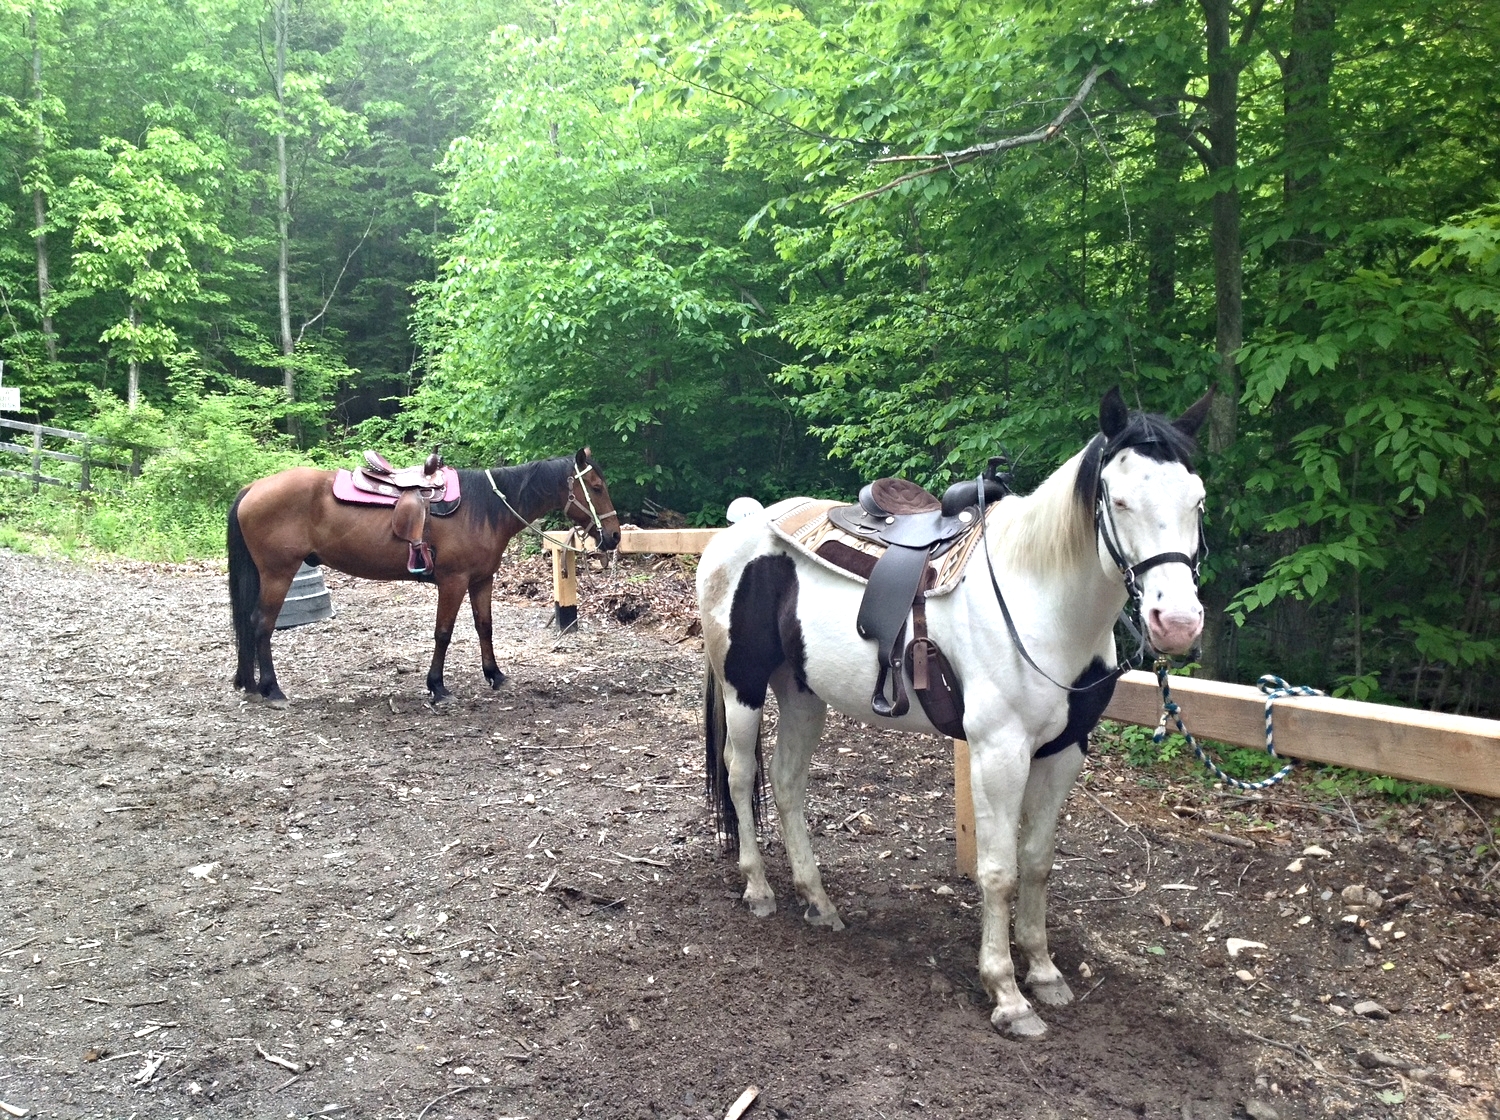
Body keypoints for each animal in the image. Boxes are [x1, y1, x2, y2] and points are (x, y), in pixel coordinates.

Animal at [228, 448, 620, 706]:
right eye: (596, 487)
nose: (614, 536)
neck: (484, 507)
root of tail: (253, 488)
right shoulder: (453, 581)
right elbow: (443, 633)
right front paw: (437, 686)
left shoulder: (481, 580)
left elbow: (485, 627)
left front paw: (495, 675)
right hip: (278, 574)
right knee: (261, 624)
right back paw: (272, 690)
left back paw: (254, 686)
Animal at [696, 388, 1212, 1038]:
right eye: (1118, 500)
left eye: (1197, 500)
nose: (1179, 624)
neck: (1039, 599)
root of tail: (738, 529)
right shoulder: (999, 752)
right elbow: (999, 871)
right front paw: (1008, 995)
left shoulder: (1064, 752)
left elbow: (1037, 863)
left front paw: (1044, 972)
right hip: (742, 686)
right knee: (742, 778)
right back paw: (759, 889)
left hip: (802, 693)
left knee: (788, 786)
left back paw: (818, 901)